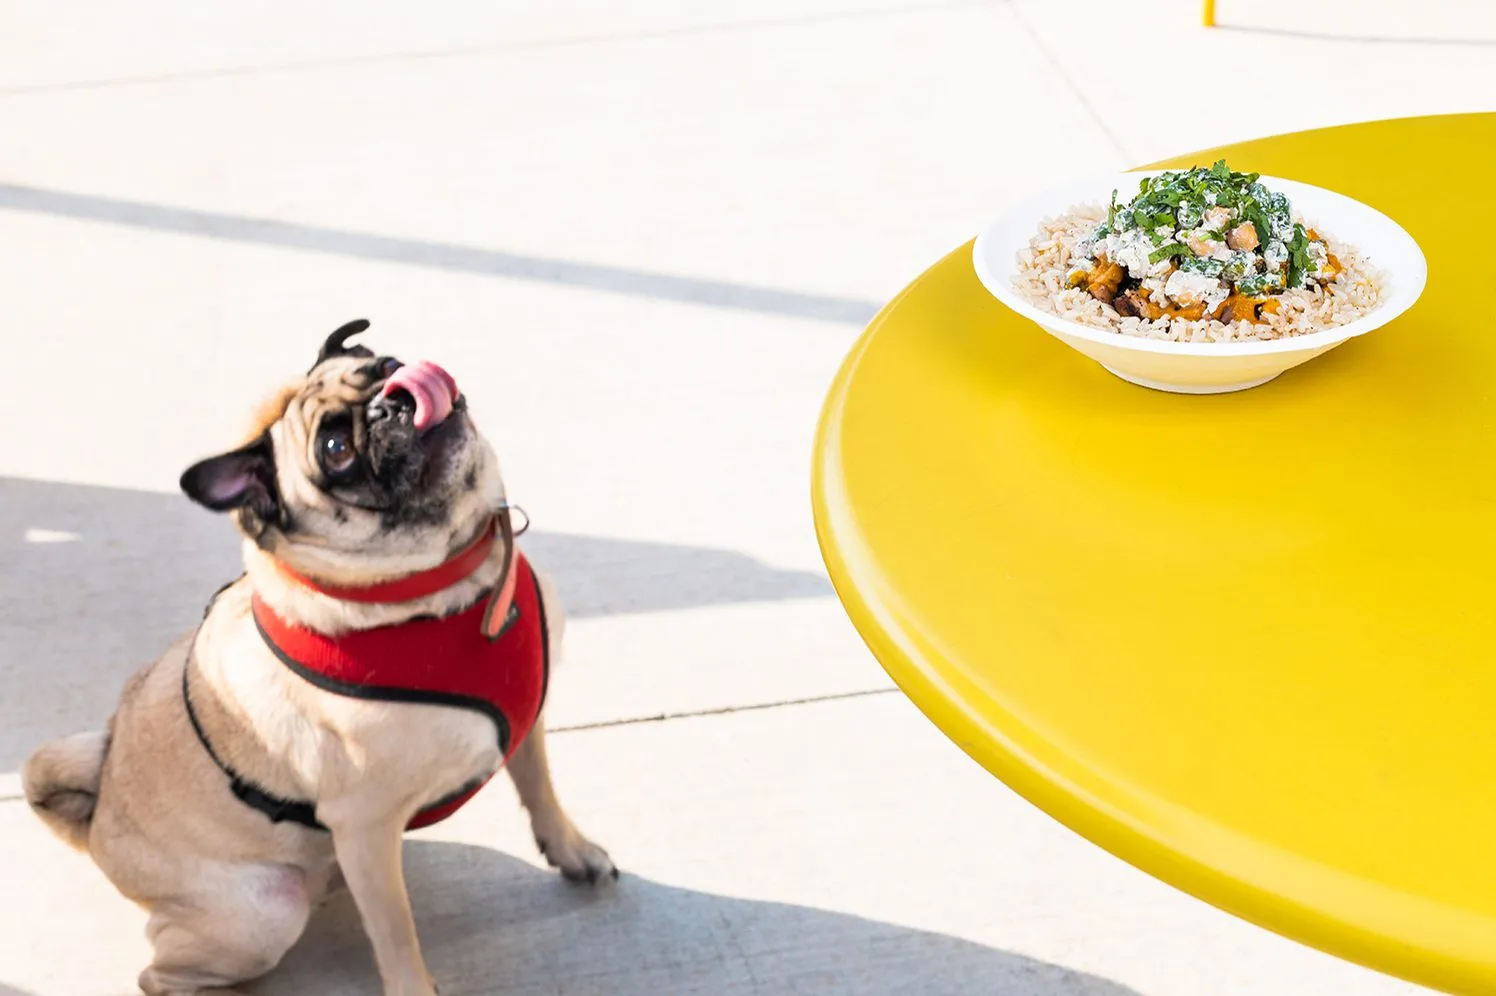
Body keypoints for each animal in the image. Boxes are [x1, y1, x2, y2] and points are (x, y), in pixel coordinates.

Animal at [21, 320, 613, 993]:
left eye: (389, 364)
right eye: (335, 450)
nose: (393, 400)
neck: (447, 586)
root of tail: (98, 817)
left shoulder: (528, 723)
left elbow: (540, 789)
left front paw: (572, 849)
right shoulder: (365, 829)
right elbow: (397, 938)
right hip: (264, 913)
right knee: (160, 975)